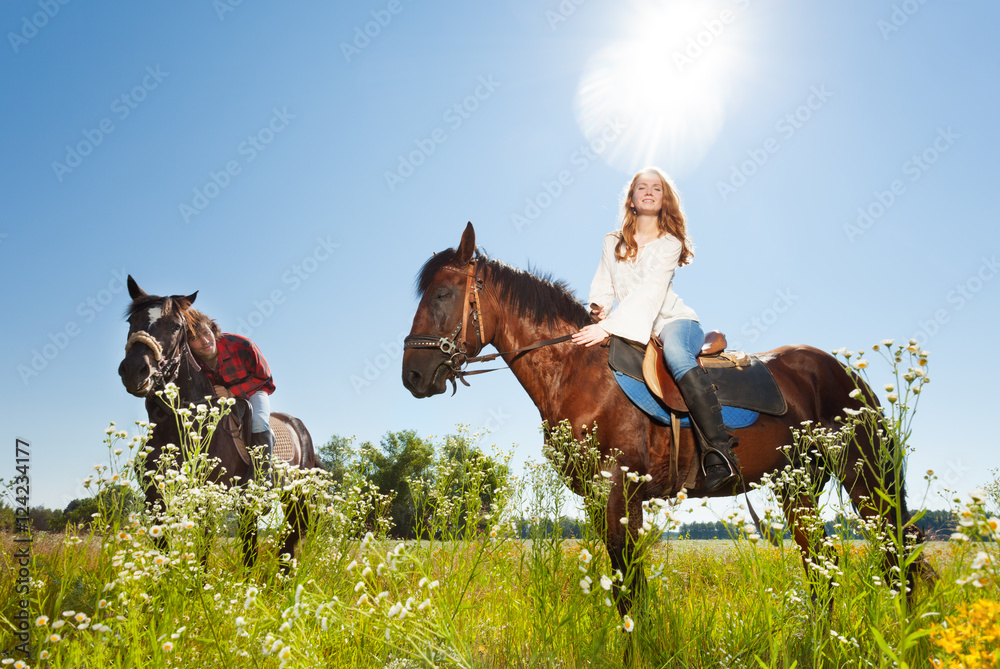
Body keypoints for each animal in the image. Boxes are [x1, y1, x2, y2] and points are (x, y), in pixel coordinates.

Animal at [117, 276, 320, 568]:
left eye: (176, 326)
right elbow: (162, 552)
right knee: (255, 546)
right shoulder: (155, 497)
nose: (135, 370)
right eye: (131, 321)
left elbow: (202, 553)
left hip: (296, 498)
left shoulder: (208, 498)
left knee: (287, 544)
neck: (179, 426)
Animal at [402, 222, 932, 612]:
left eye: (443, 294)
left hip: (865, 479)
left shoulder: (618, 490)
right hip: (797, 486)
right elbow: (627, 587)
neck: (577, 372)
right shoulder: (602, 500)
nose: (413, 375)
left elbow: (628, 589)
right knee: (824, 564)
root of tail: (847, 372)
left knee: (897, 553)